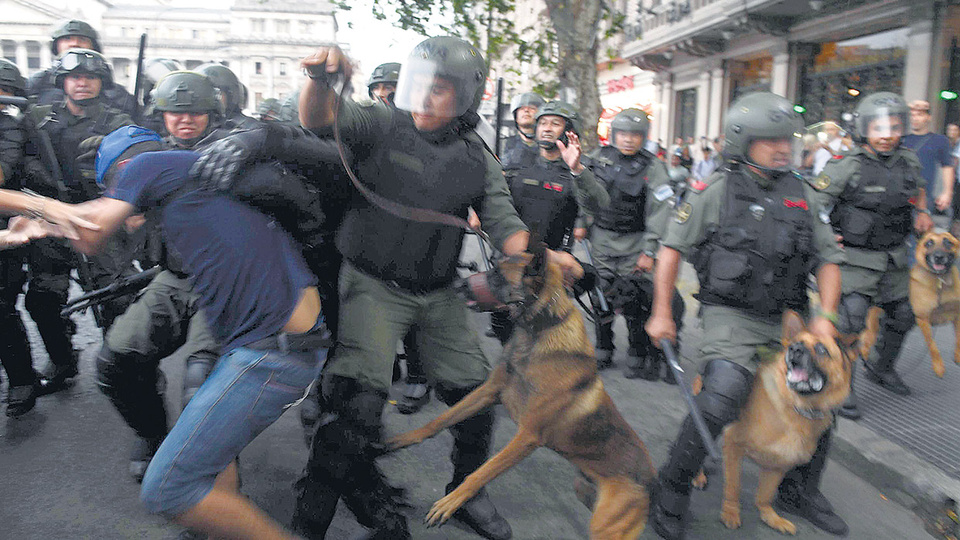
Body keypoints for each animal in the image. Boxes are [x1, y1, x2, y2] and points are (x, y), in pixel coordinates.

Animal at [386, 244, 656, 540]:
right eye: (492, 266)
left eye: (497, 275)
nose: (455, 284)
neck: (539, 331)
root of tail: (651, 482)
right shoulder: (488, 391)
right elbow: (439, 421)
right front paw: (400, 440)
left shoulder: (527, 436)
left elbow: (481, 471)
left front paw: (450, 502)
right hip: (585, 492)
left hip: (604, 525)